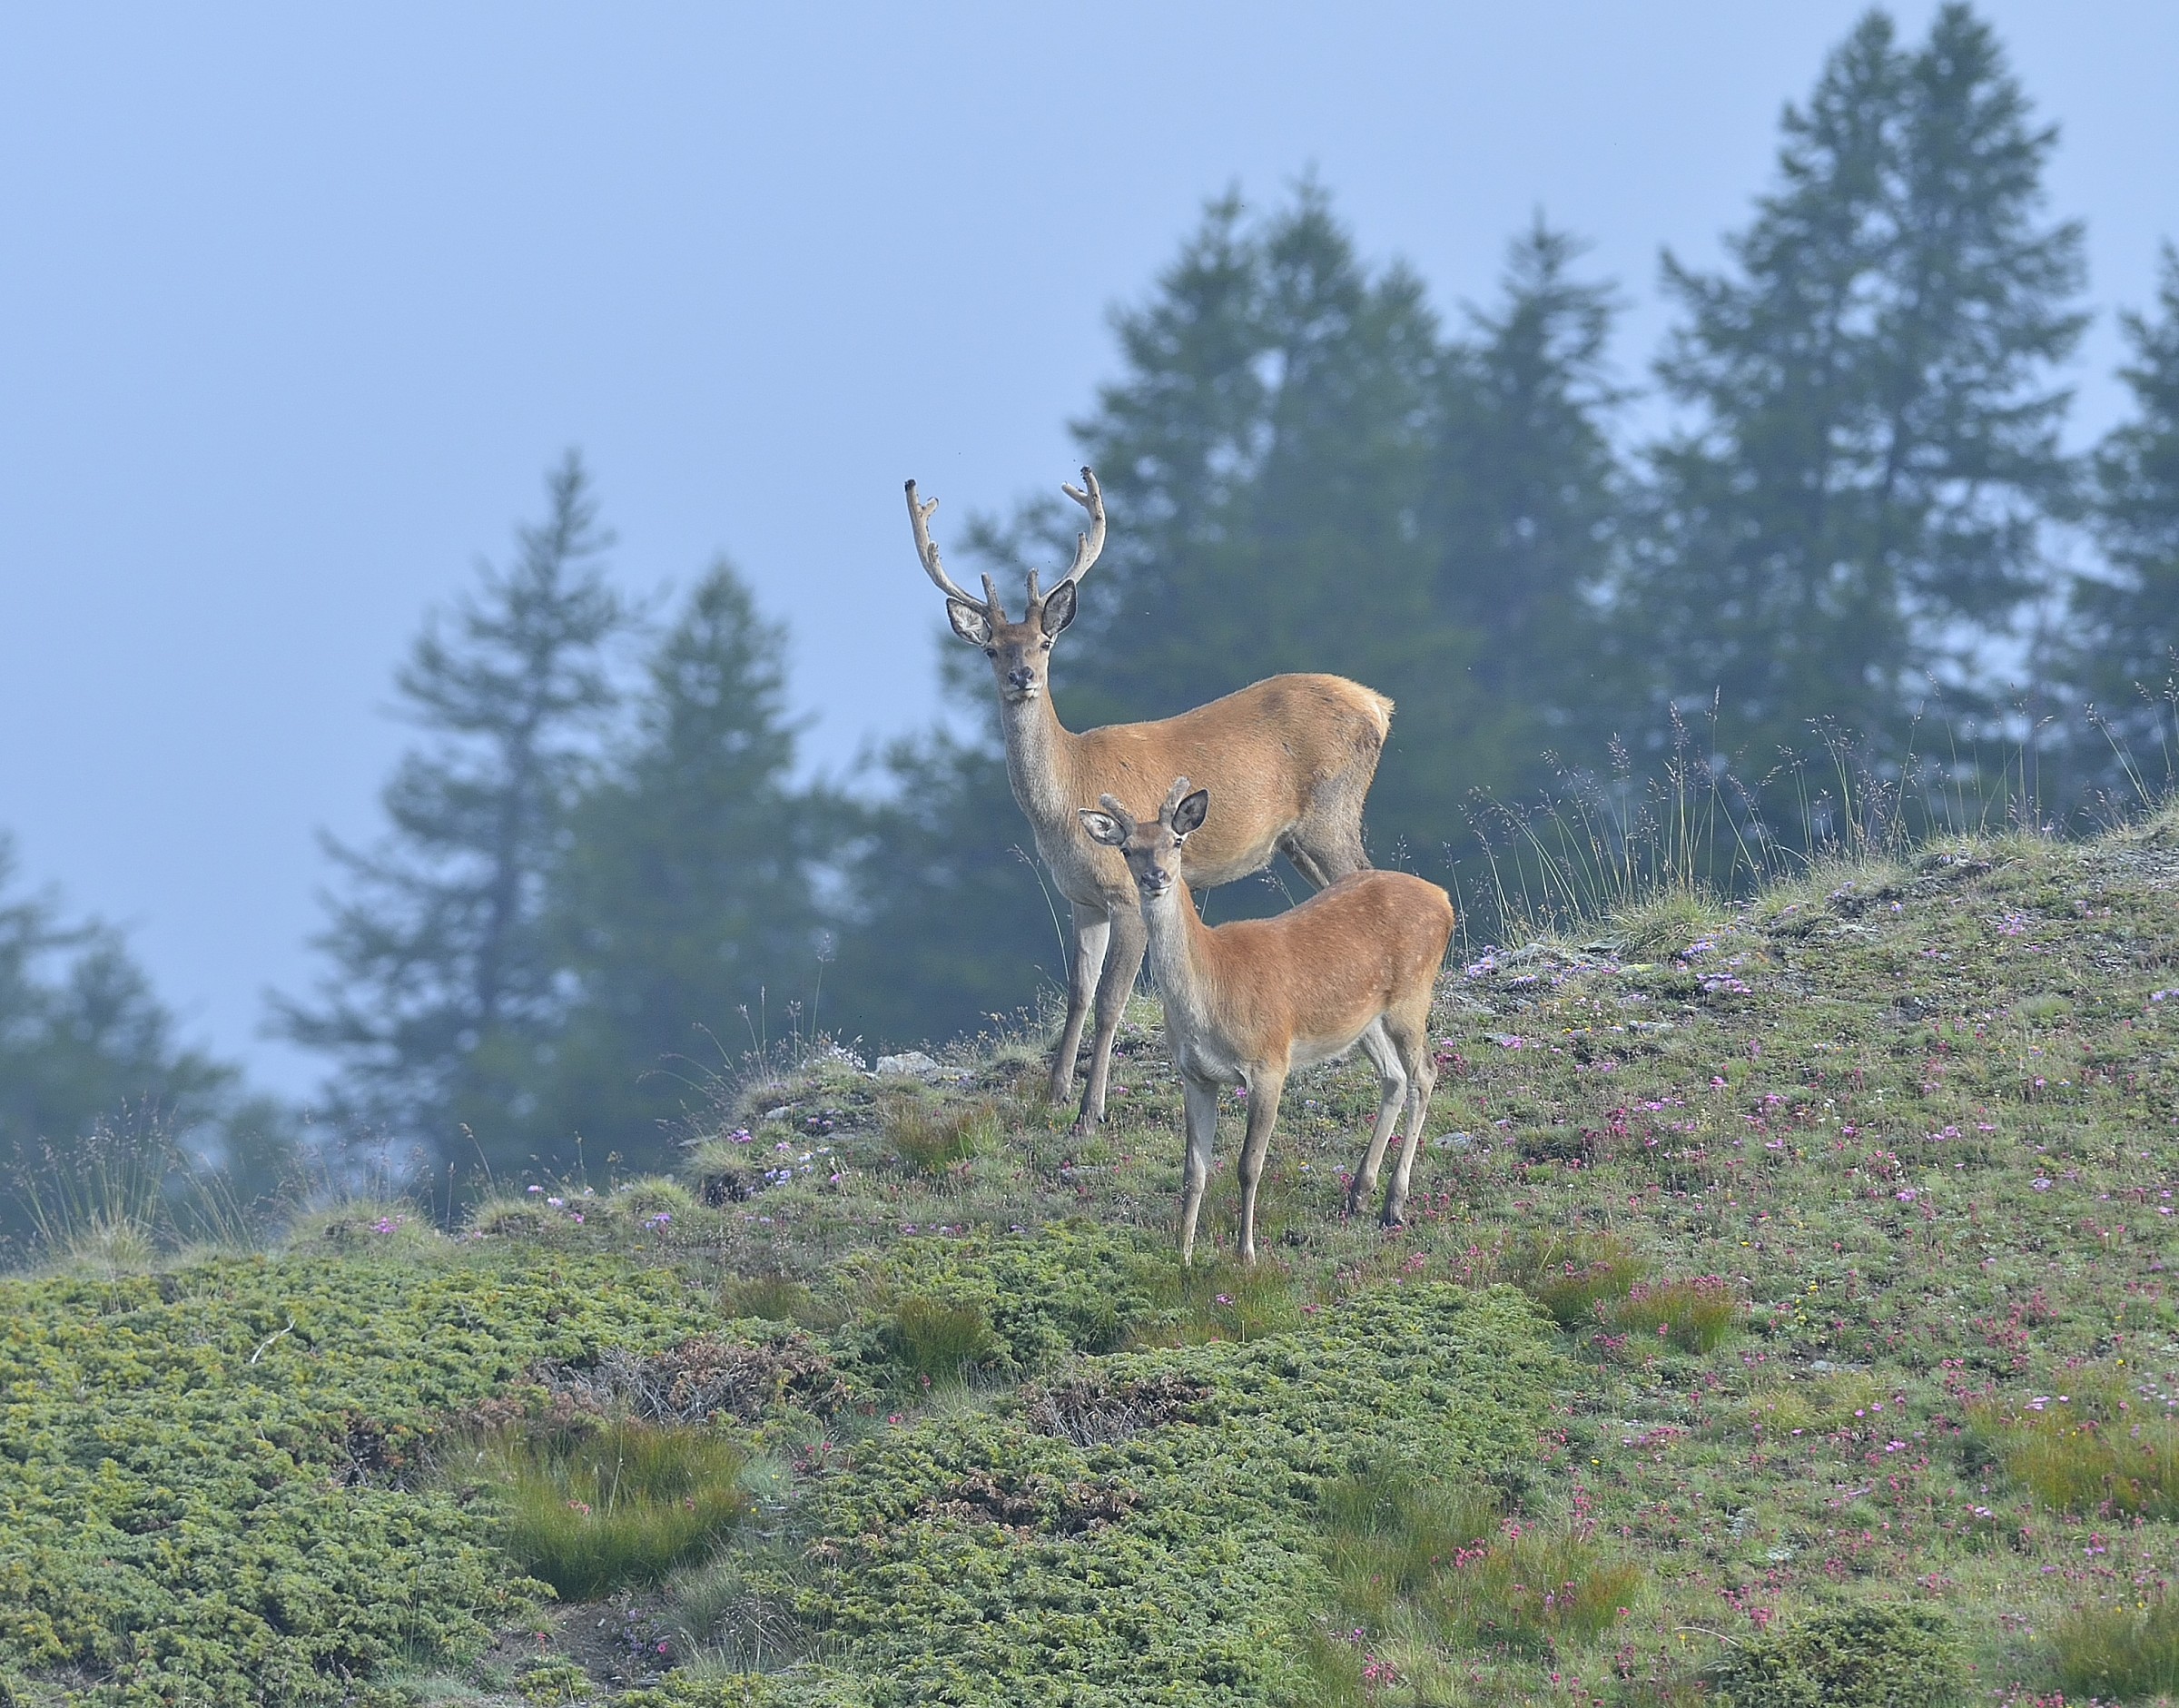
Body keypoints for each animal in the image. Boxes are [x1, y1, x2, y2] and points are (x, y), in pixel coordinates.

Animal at [905, 466, 1393, 1135]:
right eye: (991, 648)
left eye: (1045, 642)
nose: (1021, 677)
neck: (1063, 799)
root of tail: (1380, 706)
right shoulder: (1080, 898)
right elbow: (1077, 992)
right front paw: (1054, 1094)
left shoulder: (1123, 892)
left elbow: (1111, 1002)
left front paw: (1090, 1111)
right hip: (1301, 838)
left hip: (1332, 810)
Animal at [1080, 779, 1454, 1265]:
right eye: (1127, 849)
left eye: (1176, 841)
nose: (1155, 877)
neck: (1213, 990)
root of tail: (1444, 899)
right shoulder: (1195, 1075)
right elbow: (1193, 1169)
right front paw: (1183, 1253)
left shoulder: (1269, 1064)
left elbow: (1248, 1165)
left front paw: (1246, 1253)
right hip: (1361, 1019)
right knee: (1393, 1076)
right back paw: (1359, 1193)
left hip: (1411, 996)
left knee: (1424, 1073)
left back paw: (1394, 1203)